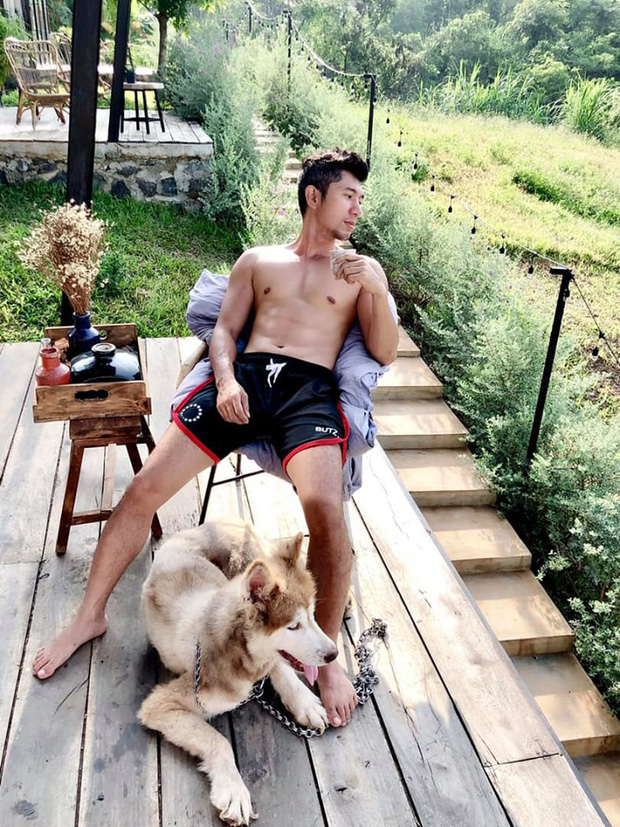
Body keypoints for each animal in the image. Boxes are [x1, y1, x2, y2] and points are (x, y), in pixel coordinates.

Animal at [138, 519, 337, 826]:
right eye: (293, 626)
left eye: (313, 616)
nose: (333, 654)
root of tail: (225, 522)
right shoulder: (160, 705)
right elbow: (218, 741)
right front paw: (234, 792)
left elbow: (278, 666)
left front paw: (304, 703)